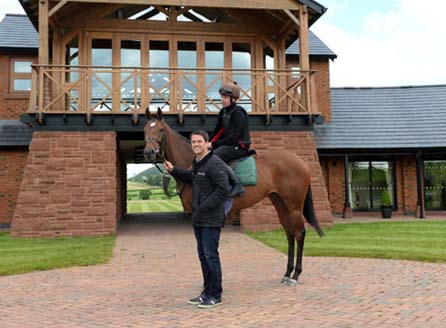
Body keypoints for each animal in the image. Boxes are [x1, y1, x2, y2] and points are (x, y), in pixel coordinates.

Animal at [145, 108, 322, 284]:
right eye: (145, 130)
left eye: (160, 130)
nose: (148, 152)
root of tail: (302, 162)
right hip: (280, 204)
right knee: (290, 234)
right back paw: (287, 273)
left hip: (294, 206)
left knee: (299, 233)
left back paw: (296, 274)